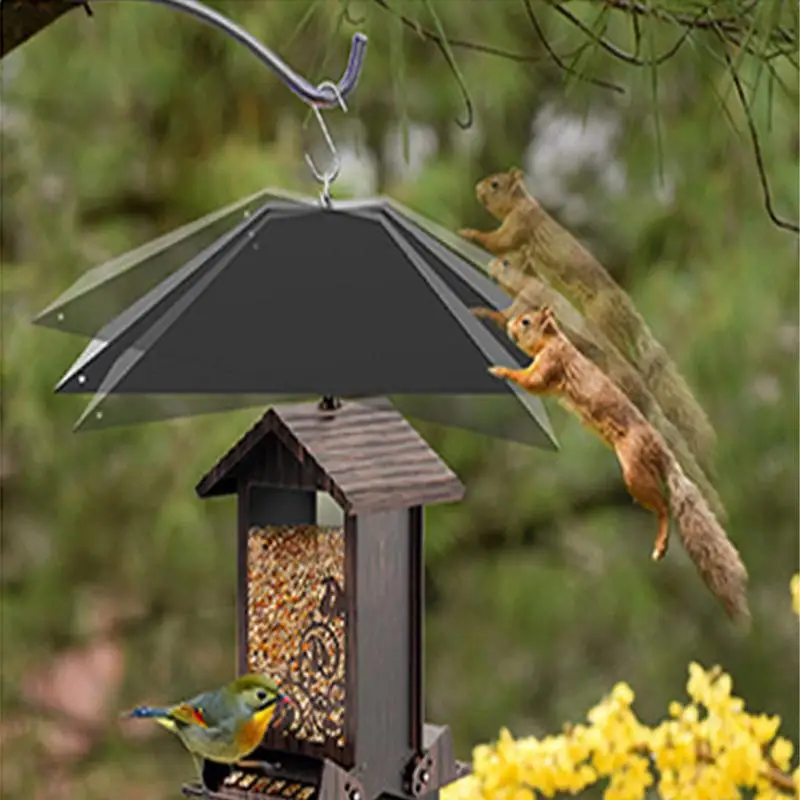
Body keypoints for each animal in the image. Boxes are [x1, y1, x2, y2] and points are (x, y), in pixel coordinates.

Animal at [460, 166, 716, 472]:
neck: (525, 202)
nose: (477, 188)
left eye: (495, 184)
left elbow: (499, 242)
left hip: (601, 315)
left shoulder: (520, 225)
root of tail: (623, 304)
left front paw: (470, 234)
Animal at [472, 250, 728, 524]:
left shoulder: (526, 301)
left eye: (506, 263)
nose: (490, 263)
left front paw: (481, 311)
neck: (532, 281)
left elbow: (504, 317)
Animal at [488, 306, 752, 624]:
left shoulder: (552, 362)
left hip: (634, 469)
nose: (509, 326)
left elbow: (532, 382)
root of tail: (660, 449)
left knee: (663, 507)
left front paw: (502, 371)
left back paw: (661, 539)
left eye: (526, 321)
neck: (555, 340)